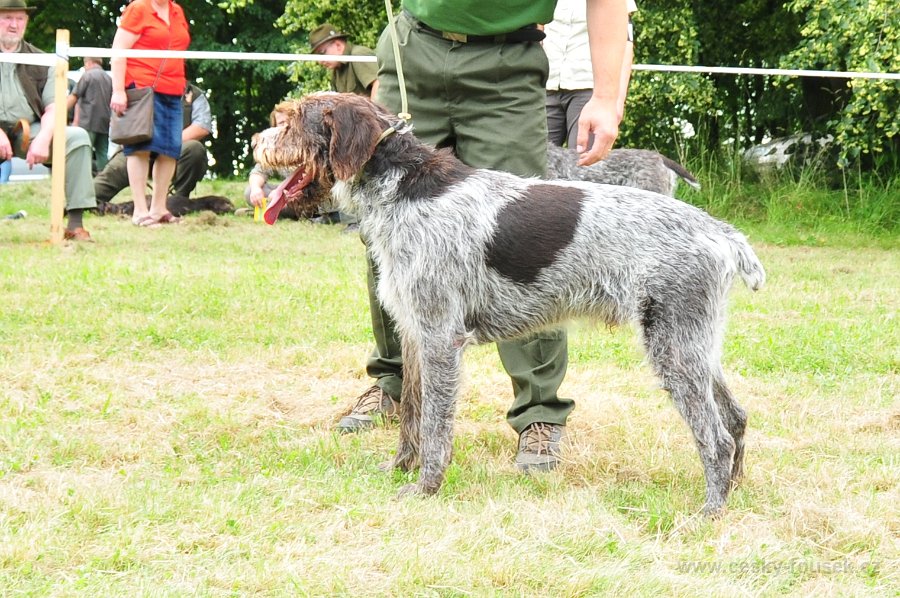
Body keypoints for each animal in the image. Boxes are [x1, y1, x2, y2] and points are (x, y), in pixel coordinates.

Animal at [253, 94, 768, 516]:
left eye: (291, 122)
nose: (256, 141)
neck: (401, 186)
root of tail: (721, 232)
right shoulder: (416, 333)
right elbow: (412, 417)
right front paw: (401, 468)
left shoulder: (440, 338)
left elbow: (435, 425)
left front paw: (426, 487)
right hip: (694, 345)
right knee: (737, 417)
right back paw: (736, 492)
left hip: (674, 348)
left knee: (716, 436)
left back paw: (711, 512)